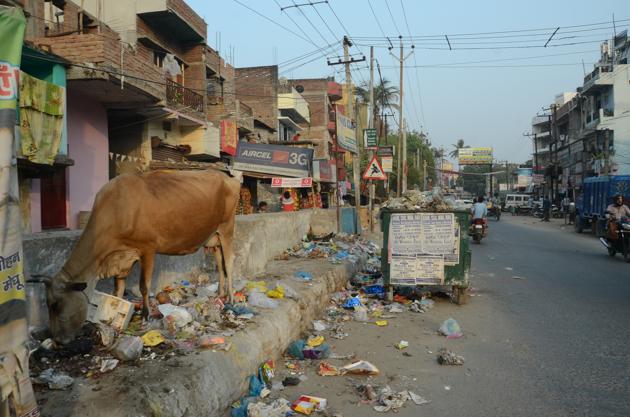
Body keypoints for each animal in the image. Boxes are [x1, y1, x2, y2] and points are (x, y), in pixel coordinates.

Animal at [41, 167, 239, 342]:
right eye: (48, 305)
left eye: (57, 307)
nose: (57, 340)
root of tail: (228, 178)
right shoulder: (121, 257)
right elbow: (118, 290)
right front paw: (116, 314)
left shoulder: (147, 249)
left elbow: (144, 286)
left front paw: (145, 316)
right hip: (213, 237)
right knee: (220, 261)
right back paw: (220, 294)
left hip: (227, 228)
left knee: (229, 261)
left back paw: (230, 297)